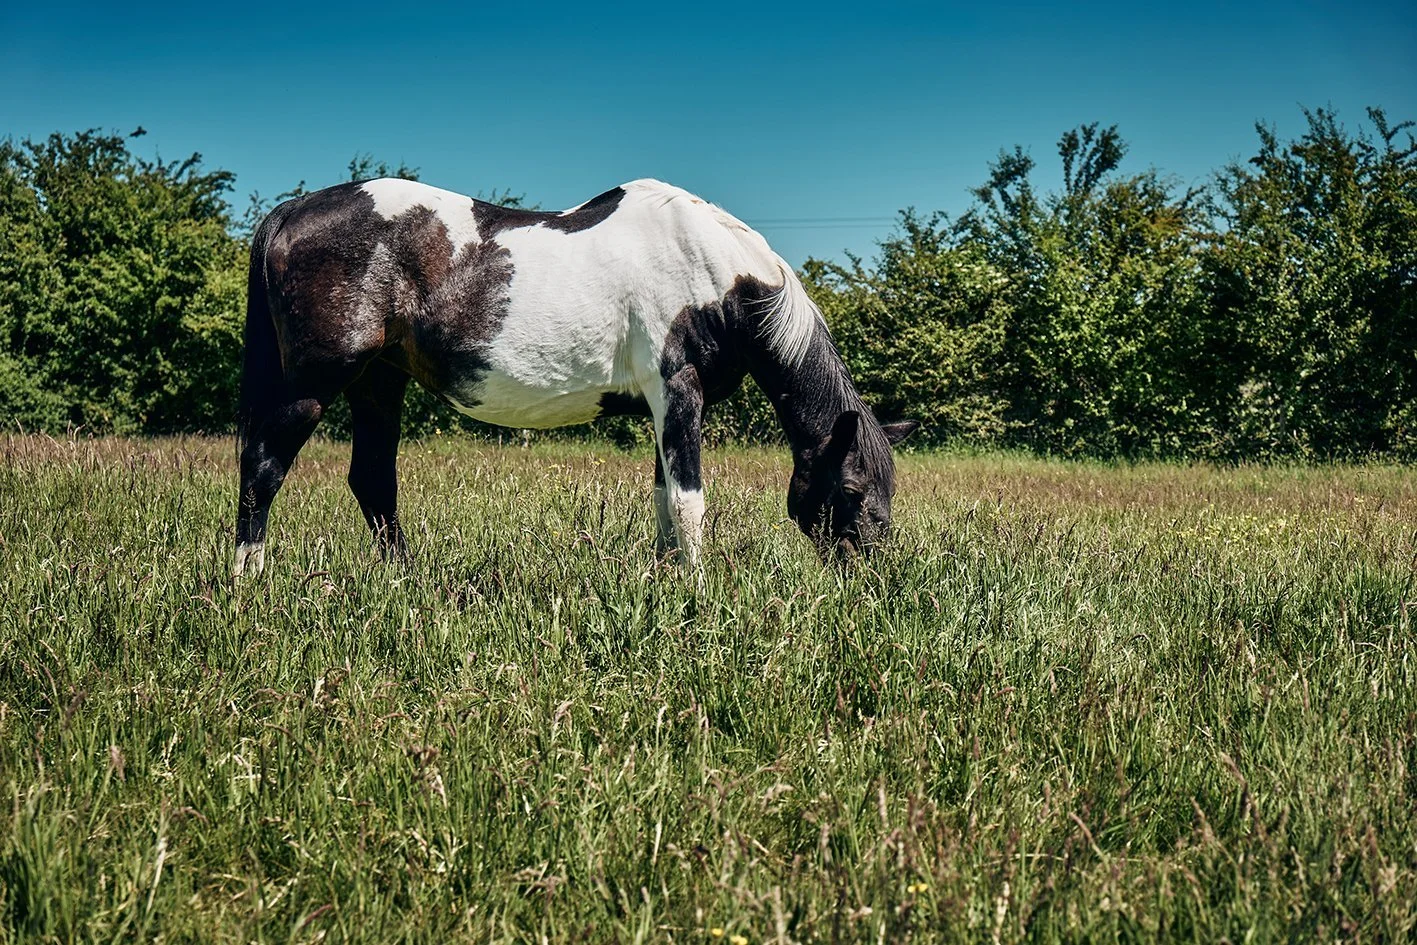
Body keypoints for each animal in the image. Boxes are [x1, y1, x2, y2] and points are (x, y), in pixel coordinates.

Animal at [234, 178, 918, 575]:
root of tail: (290, 212)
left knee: (373, 480)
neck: (717, 277)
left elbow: (664, 502)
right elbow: (689, 501)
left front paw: (667, 583)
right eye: (853, 492)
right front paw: (700, 596)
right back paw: (248, 584)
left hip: (379, 382)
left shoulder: (665, 408)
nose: (876, 581)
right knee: (263, 469)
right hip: (315, 385)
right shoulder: (680, 393)